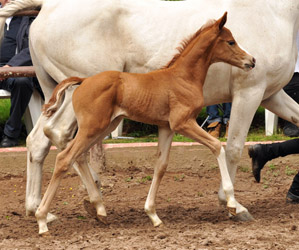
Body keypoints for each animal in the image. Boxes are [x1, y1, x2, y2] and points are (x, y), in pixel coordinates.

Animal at [37, 12, 255, 235]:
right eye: (231, 41)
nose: (252, 60)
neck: (184, 78)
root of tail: (83, 81)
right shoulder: (183, 123)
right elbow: (217, 146)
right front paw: (231, 202)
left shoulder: (166, 127)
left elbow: (161, 166)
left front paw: (153, 215)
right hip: (92, 128)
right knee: (64, 158)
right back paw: (42, 219)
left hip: (103, 127)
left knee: (75, 155)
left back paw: (99, 210)